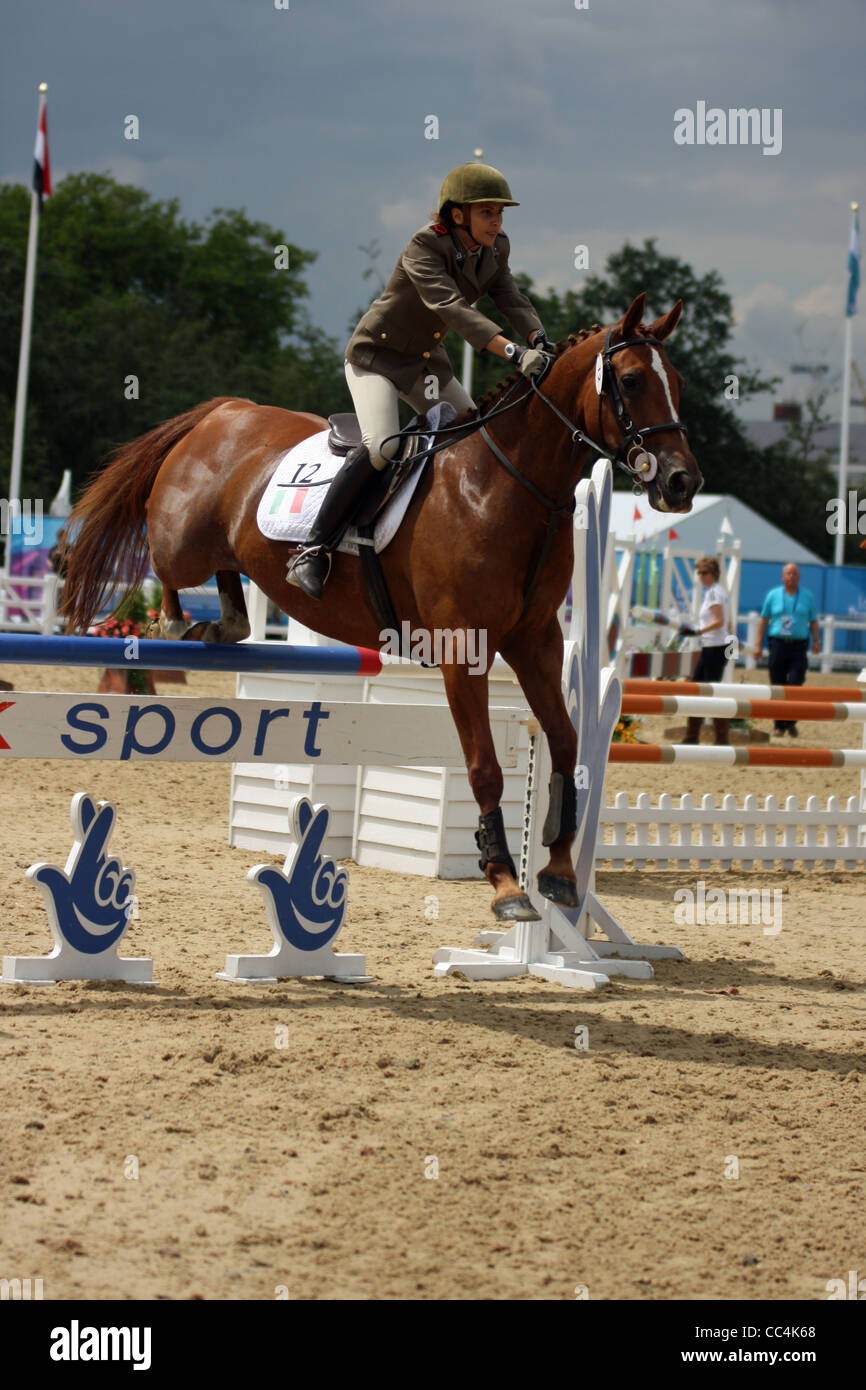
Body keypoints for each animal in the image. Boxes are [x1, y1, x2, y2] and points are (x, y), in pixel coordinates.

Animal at [62, 293, 706, 922]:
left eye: (676, 381)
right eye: (630, 381)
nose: (682, 483)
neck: (507, 485)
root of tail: (224, 411)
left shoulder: (537, 640)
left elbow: (567, 743)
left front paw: (559, 872)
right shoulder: (462, 649)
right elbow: (485, 765)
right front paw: (505, 883)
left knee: (231, 590)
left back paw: (222, 625)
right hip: (183, 541)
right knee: (163, 559)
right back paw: (178, 620)